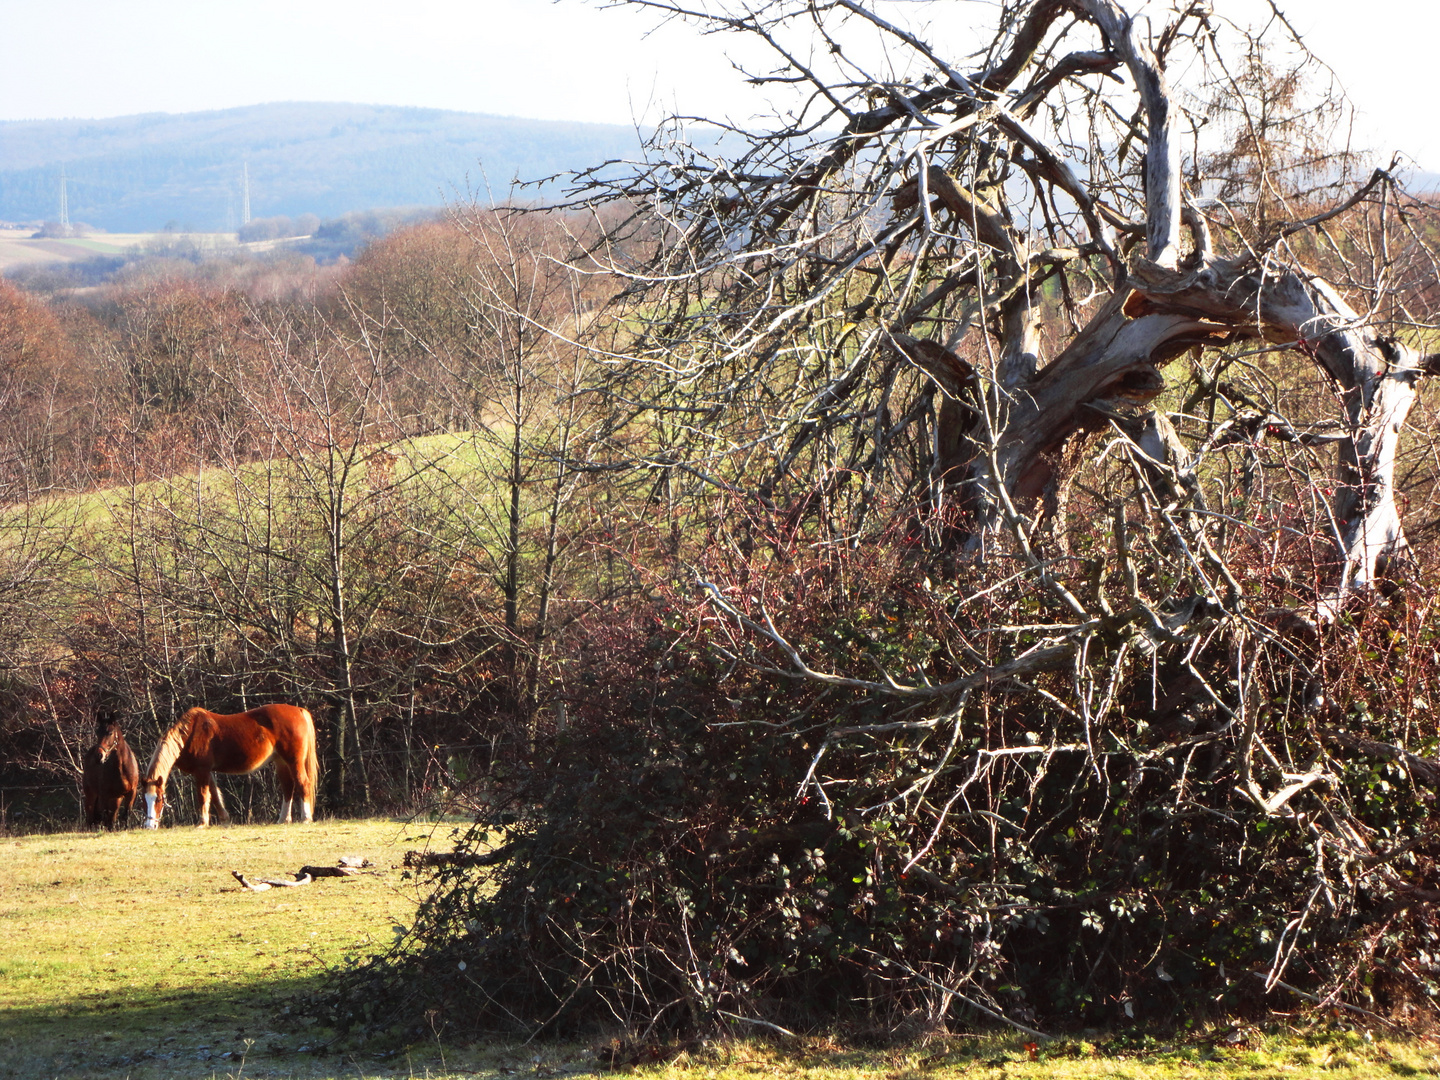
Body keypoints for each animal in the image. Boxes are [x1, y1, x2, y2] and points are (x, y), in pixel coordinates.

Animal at [140, 705, 318, 835]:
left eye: (159, 799)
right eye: (144, 800)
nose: (149, 826)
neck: (190, 734)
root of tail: (299, 711)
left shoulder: (201, 770)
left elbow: (203, 796)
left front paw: (202, 823)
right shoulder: (207, 771)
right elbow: (215, 795)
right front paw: (225, 820)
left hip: (294, 761)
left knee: (303, 783)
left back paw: (306, 818)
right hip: (280, 761)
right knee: (288, 787)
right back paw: (283, 819)